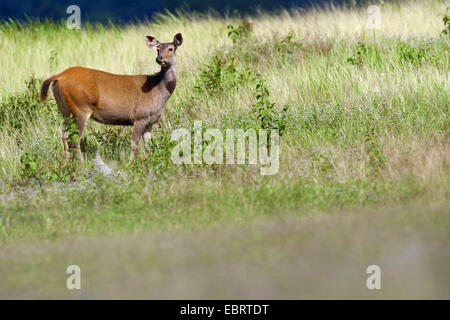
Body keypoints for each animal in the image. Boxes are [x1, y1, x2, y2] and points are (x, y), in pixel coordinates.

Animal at [40, 32, 183, 160]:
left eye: (171, 48)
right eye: (158, 49)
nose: (159, 59)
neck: (158, 89)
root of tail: (59, 76)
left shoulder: (150, 122)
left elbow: (149, 147)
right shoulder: (140, 116)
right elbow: (134, 145)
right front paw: (132, 164)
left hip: (65, 111)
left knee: (64, 136)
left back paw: (67, 163)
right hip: (80, 108)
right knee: (74, 140)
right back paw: (81, 166)